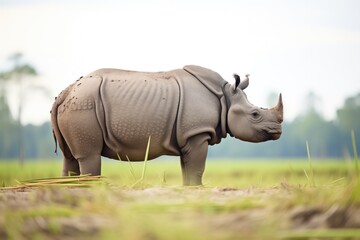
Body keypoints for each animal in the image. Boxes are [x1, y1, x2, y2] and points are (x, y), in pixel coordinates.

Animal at [50, 65, 282, 186]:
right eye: (255, 114)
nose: (278, 131)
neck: (225, 97)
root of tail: (64, 92)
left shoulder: (188, 136)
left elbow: (188, 168)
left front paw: (189, 189)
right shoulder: (197, 132)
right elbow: (197, 167)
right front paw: (198, 188)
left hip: (75, 105)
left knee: (69, 157)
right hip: (83, 106)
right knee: (88, 155)